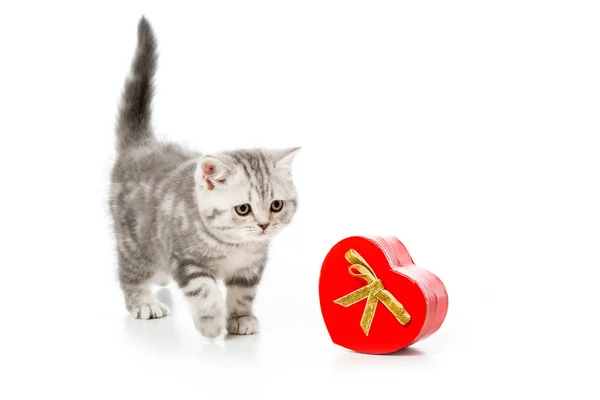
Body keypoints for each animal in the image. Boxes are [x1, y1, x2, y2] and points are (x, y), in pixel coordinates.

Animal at [108, 18, 300, 338]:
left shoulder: (251, 266)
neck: (234, 247)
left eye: (276, 205)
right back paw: (144, 302)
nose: (263, 225)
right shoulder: (187, 260)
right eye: (243, 209)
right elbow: (204, 290)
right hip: (133, 238)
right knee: (130, 270)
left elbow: (243, 293)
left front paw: (241, 318)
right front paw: (211, 322)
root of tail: (141, 144)